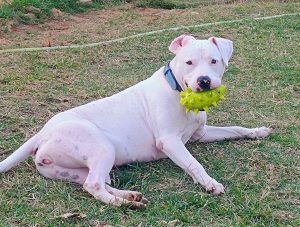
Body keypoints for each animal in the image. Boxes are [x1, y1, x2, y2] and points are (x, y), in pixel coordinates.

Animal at [0, 34, 272, 208]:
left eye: (214, 61)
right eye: (189, 62)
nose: (204, 81)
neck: (177, 91)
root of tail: (42, 133)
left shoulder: (201, 134)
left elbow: (235, 128)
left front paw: (257, 131)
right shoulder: (170, 142)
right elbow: (194, 164)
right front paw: (210, 183)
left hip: (70, 169)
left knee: (93, 182)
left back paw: (130, 196)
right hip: (101, 147)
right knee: (94, 185)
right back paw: (123, 204)